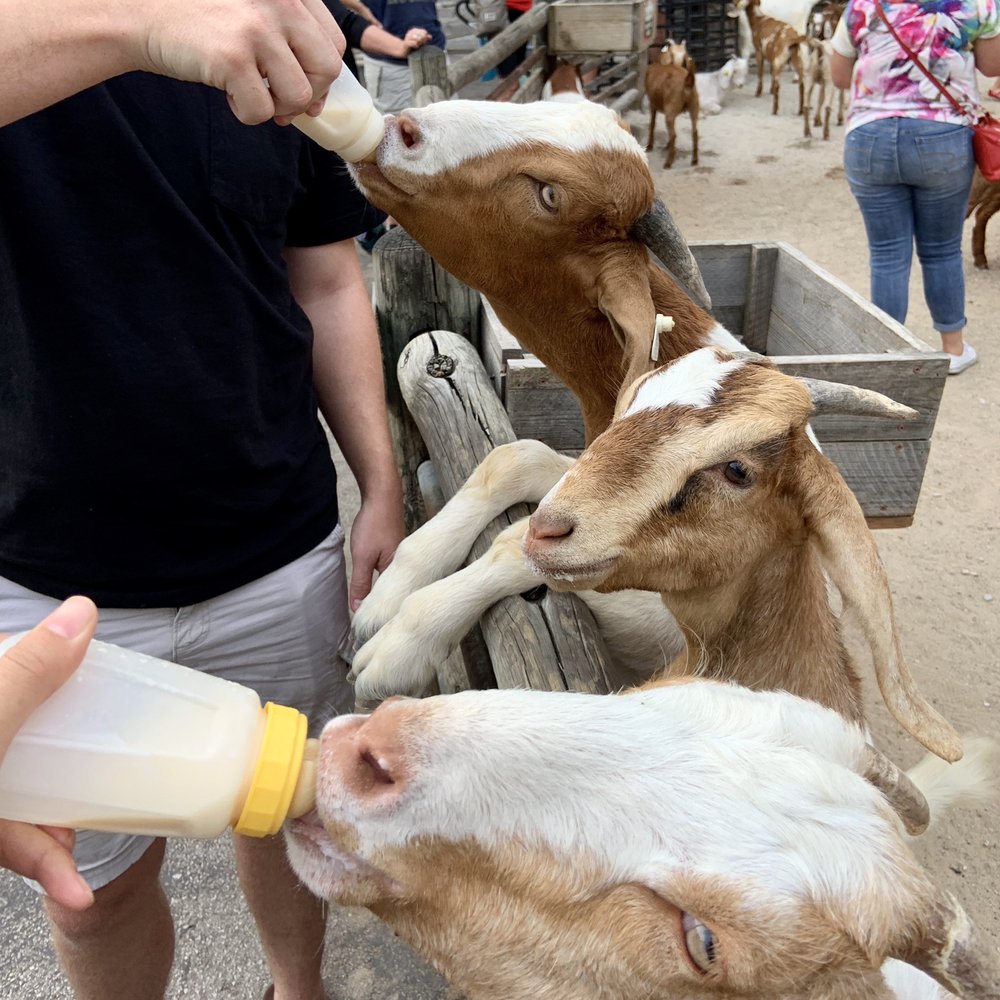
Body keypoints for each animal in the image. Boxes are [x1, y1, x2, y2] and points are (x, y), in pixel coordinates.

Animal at [350, 346, 962, 763]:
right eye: (629, 411)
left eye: (737, 469)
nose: (551, 529)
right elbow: (515, 457)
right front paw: (384, 594)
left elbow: (512, 545)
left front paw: (391, 651)